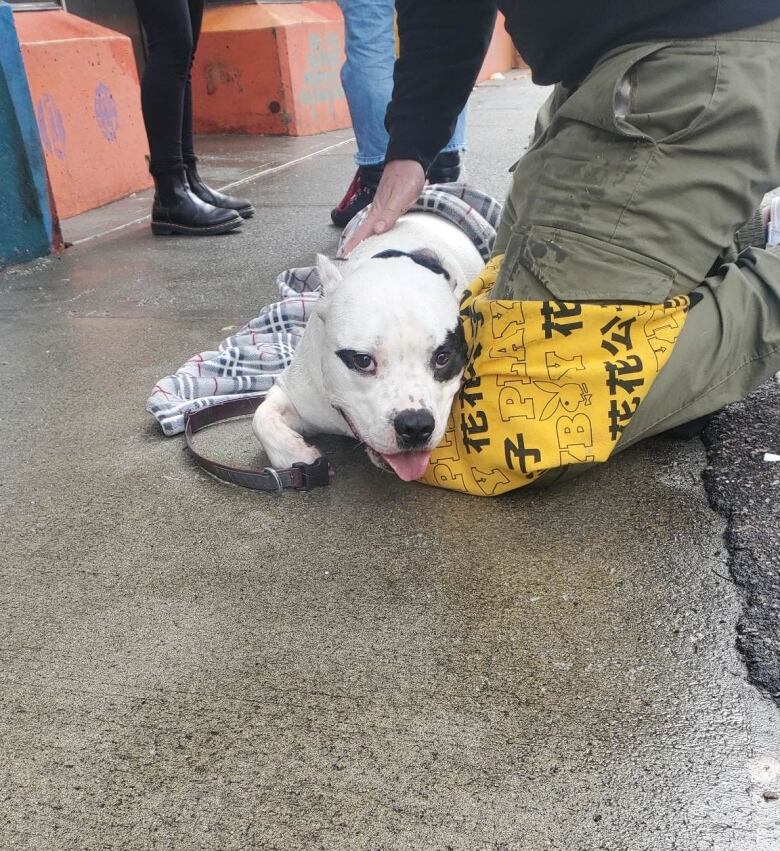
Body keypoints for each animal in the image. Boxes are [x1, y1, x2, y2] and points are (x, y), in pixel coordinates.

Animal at [253, 213, 484, 480]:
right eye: (363, 360)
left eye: (443, 357)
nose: (416, 425)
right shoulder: (296, 392)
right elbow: (261, 418)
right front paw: (298, 454)